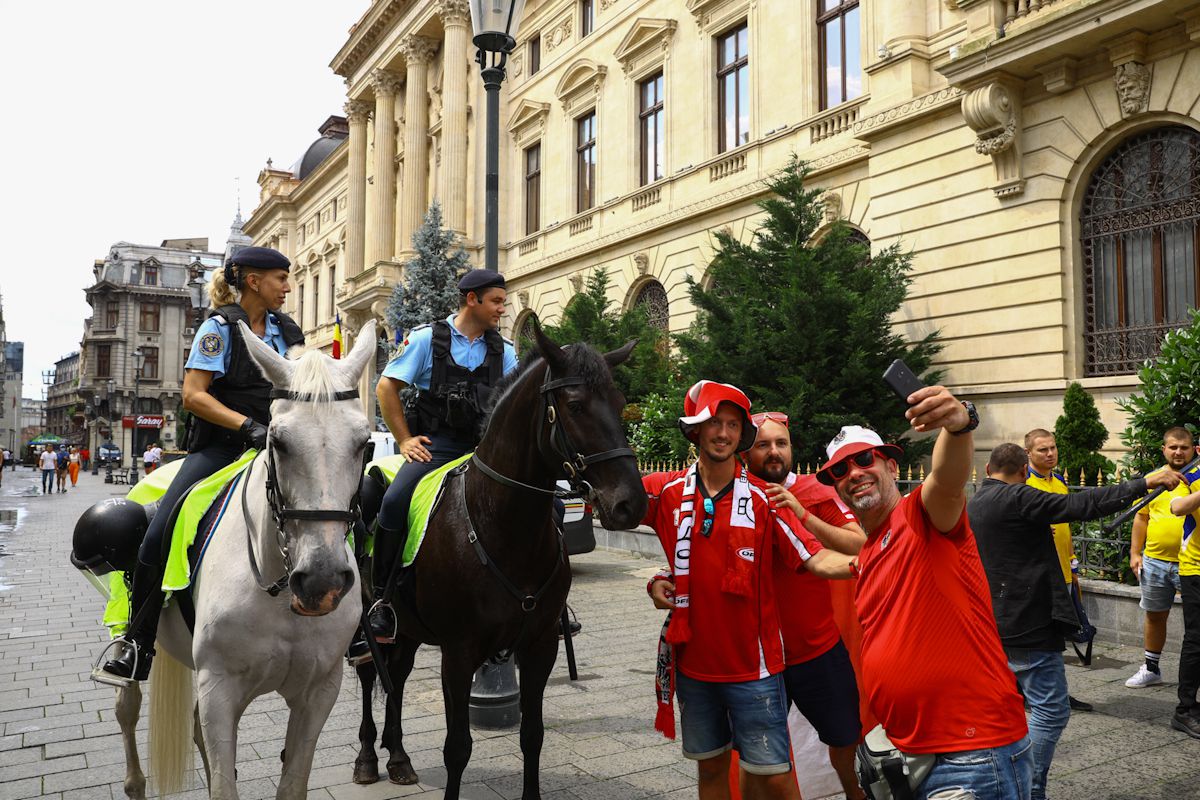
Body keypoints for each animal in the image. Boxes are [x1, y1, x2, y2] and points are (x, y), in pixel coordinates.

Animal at [113, 321, 374, 800]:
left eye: (365, 443)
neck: (279, 592)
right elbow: (222, 783)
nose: (322, 580)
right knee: (128, 703)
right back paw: (135, 780)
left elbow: (290, 782)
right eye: (277, 441)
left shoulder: (318, 693)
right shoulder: (220, 690)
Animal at [350, 326, 643, 800]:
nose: (631, 504)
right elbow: (457, 747)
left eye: (619, 404)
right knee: (368, 674)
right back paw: (367, 758)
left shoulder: (540, 647)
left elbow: (532, 735)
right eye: (575, 406)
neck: (501, 524)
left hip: (408, 628)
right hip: (365, 622)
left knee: (398, 674)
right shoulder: (458, 652)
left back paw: (397, 757)